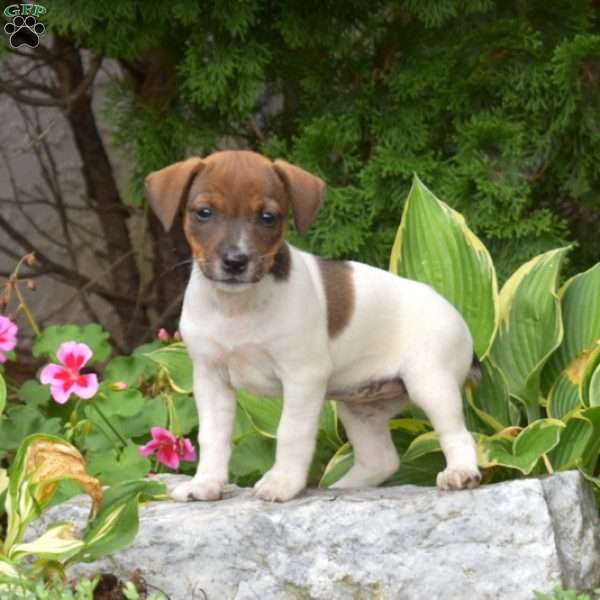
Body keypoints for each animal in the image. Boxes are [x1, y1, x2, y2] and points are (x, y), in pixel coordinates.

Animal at [145, 149, 482, 502]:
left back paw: (461, 473)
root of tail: (459, 318)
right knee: (382, 460)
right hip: (360, 408)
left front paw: (282, 481)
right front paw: (205, 483)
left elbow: (291, 432)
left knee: (459, 434)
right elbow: (212, 437)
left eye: (268, 217)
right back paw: (341, 487)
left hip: (431, 384)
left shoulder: (303, 377)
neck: (237, 309)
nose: (236, 261)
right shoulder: (210, 379)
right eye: (204, 213)